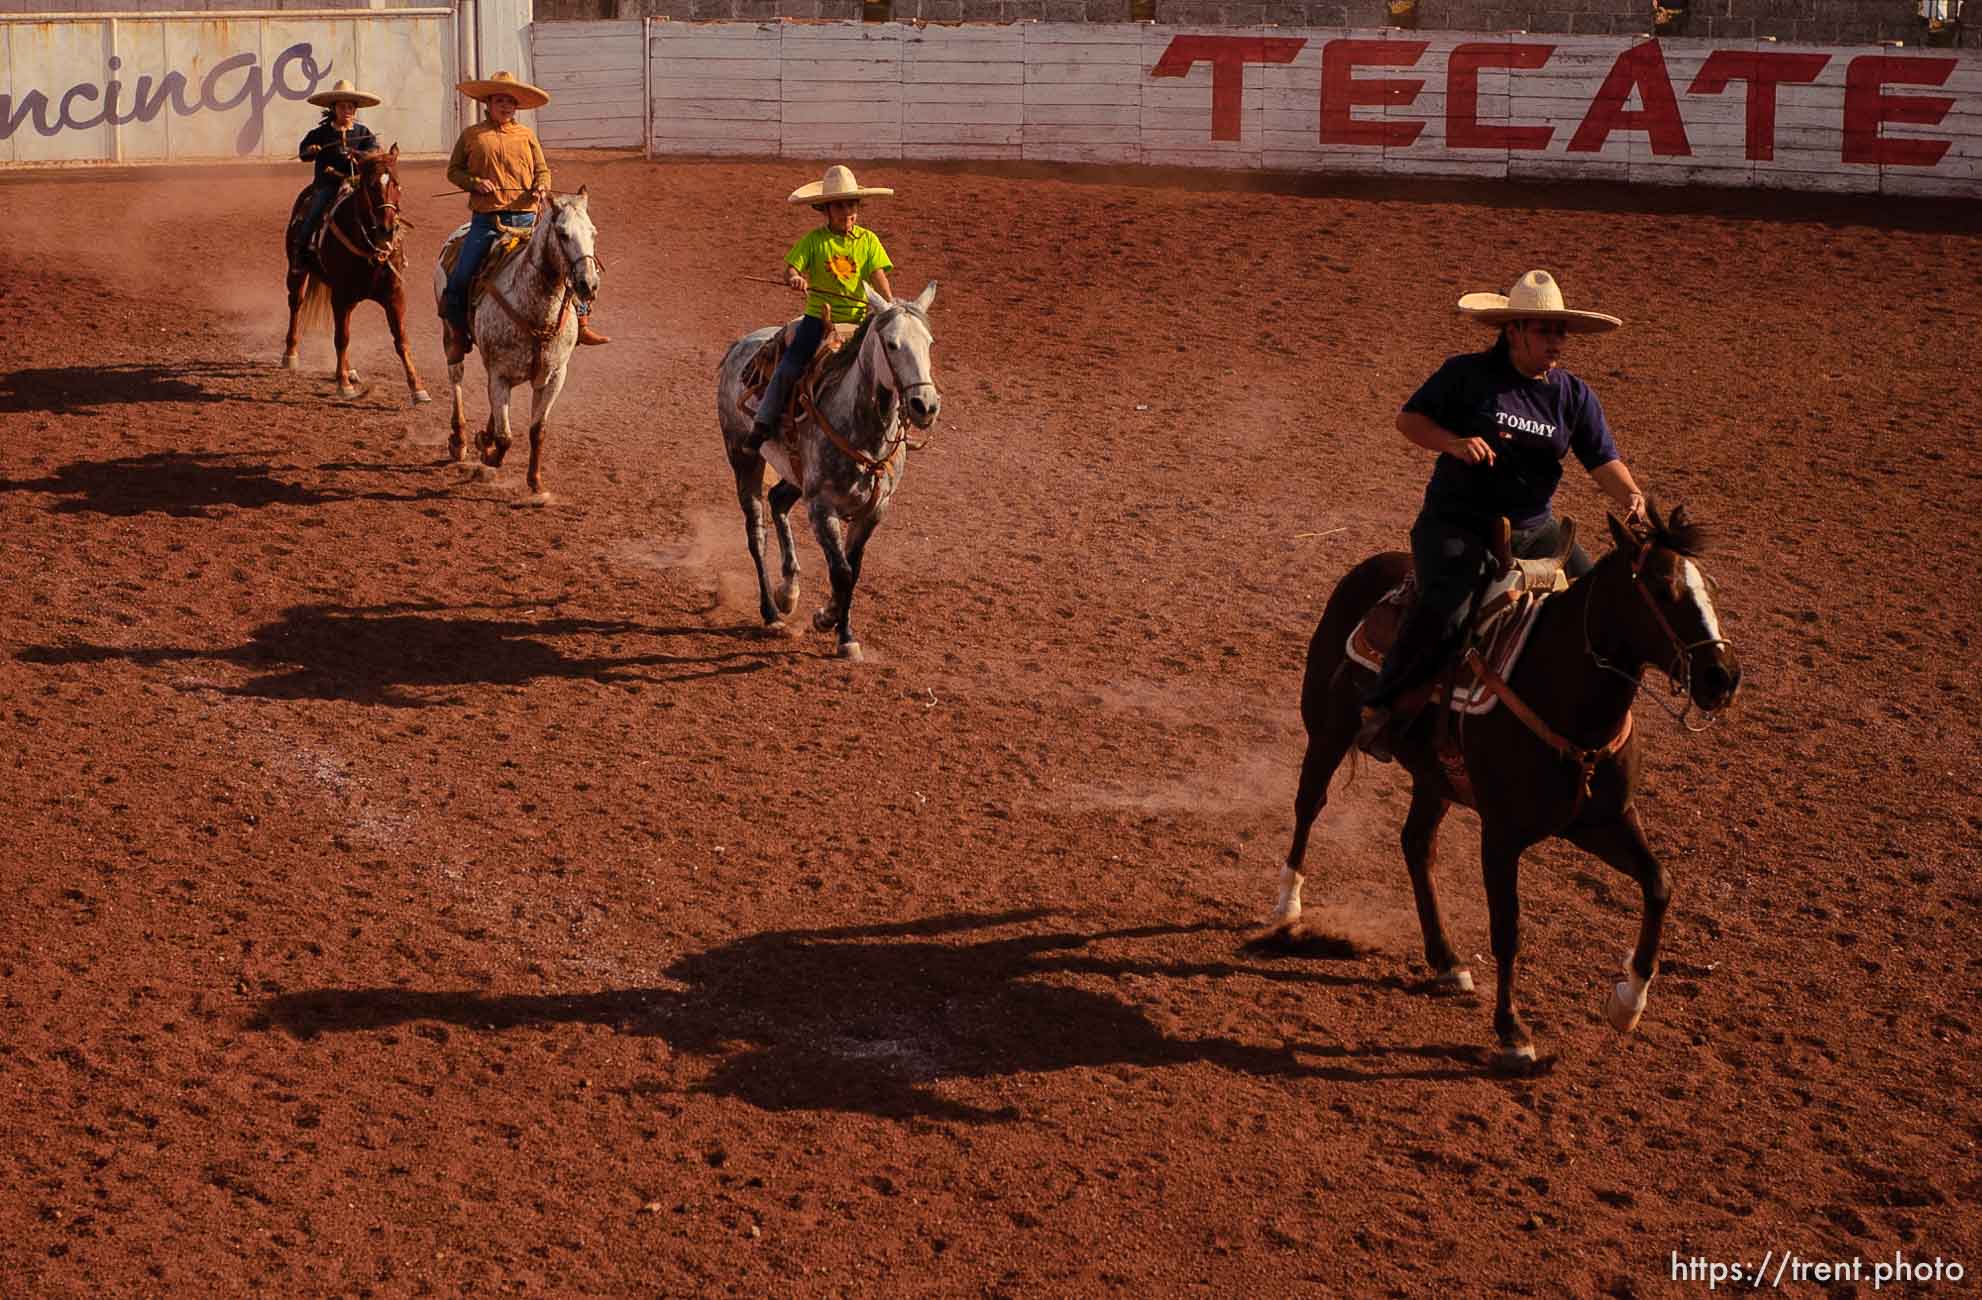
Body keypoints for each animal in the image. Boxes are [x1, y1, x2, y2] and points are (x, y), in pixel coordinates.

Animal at [279, 141, 430, 406]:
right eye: (371, 185)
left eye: (396, 182)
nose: (387, 229)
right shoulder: (342, 296)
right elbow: (342, 338)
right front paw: (343, 385)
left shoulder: (394, 295)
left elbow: (401, 339)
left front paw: (417, 388)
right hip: (298, 273)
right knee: (296, 305)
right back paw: (291, 354)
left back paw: (348, 369)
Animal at [440, 188, 602, 497]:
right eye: (562, 233)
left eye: (593, 232)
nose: (588, 284)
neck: (537, 313)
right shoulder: (499, 375)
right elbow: (506, 437)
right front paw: (489, 456)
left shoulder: (554, 377)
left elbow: (537, 431)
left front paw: (536, 482)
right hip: (452, 336)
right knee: (456, 377)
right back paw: (460, 439)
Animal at [717, 285, 939, 665]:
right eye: (892, 344)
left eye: (929, 342)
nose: (925, 405)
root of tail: (739, 345)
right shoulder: (822, 508)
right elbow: (842, 572)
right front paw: (831, 624)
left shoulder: (873, 511)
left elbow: (853, 571)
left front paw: (838, 628)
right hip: (743, 458)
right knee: (756, 532)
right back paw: (771, 612)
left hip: (795, 475)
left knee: (778, 500)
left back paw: (788, 590)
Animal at [1268, 503, 1736, 1070]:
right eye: (1663, 588)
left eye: (1707, 587)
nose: (1722, 677)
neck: (1565, 695)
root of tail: (1370, 566)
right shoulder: (1502, 836)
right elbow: (1507, 931)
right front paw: (1513, 1032)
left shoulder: (1603, 820)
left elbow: (1659, 884)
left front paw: (1627, 1003)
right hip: (1328, 731)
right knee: (1309, 804)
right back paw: (1287, 907)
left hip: (1434, 777)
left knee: (1416, 844)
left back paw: (1446, 960)